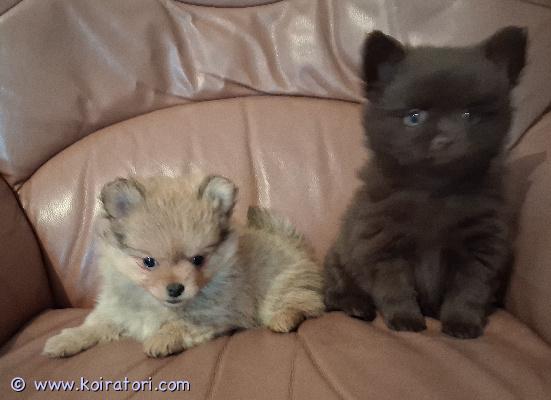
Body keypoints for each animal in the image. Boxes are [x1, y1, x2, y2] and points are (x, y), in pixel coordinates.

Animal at [324, 26, 527, 339]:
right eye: (414, 117)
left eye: (469, 115)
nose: (446, 139)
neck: (436, 191)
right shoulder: (384, 244)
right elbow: (395, 288)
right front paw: (405, 319)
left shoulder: (481, 248)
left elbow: (469, 290)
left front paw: (462, 323)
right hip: (338, 259)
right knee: (335, 289)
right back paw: (356, 305)